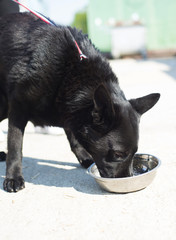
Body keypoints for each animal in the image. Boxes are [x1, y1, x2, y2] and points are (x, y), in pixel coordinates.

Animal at [0, 13, 160, 193]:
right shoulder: (18, 108)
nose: (127, 180)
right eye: (118, 155)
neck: (69, 74)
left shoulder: (68, 110)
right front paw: (13, 177)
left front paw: (84, 156)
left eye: (134, 153)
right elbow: (15, 145)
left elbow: (73, 135)